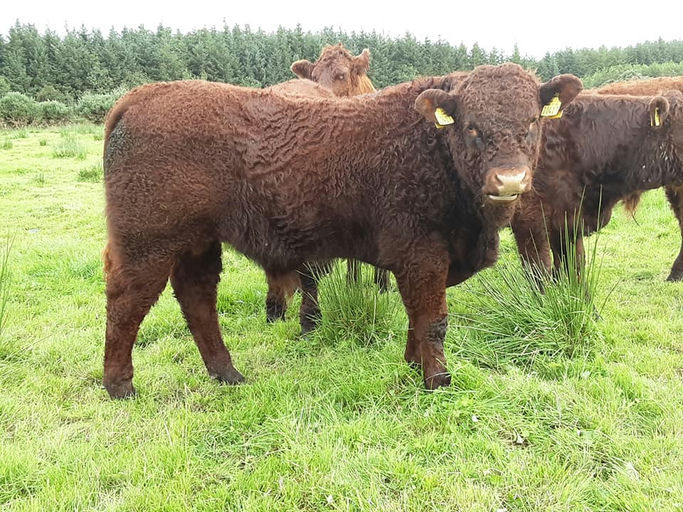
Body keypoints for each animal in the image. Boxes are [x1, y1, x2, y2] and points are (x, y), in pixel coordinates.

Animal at [102, 63, 581, 398]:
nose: (510, 180)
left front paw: (413, 368)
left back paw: (227, 374)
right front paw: (438, 380)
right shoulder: (422, 256)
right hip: (147, 243)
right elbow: (433, 320)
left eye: (533, 121)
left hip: (198, 242)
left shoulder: (423, 263)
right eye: (471, 127)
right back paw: (120, 385)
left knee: (197, 297)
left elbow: (416, 320)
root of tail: (141, 97)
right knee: (128, 302)